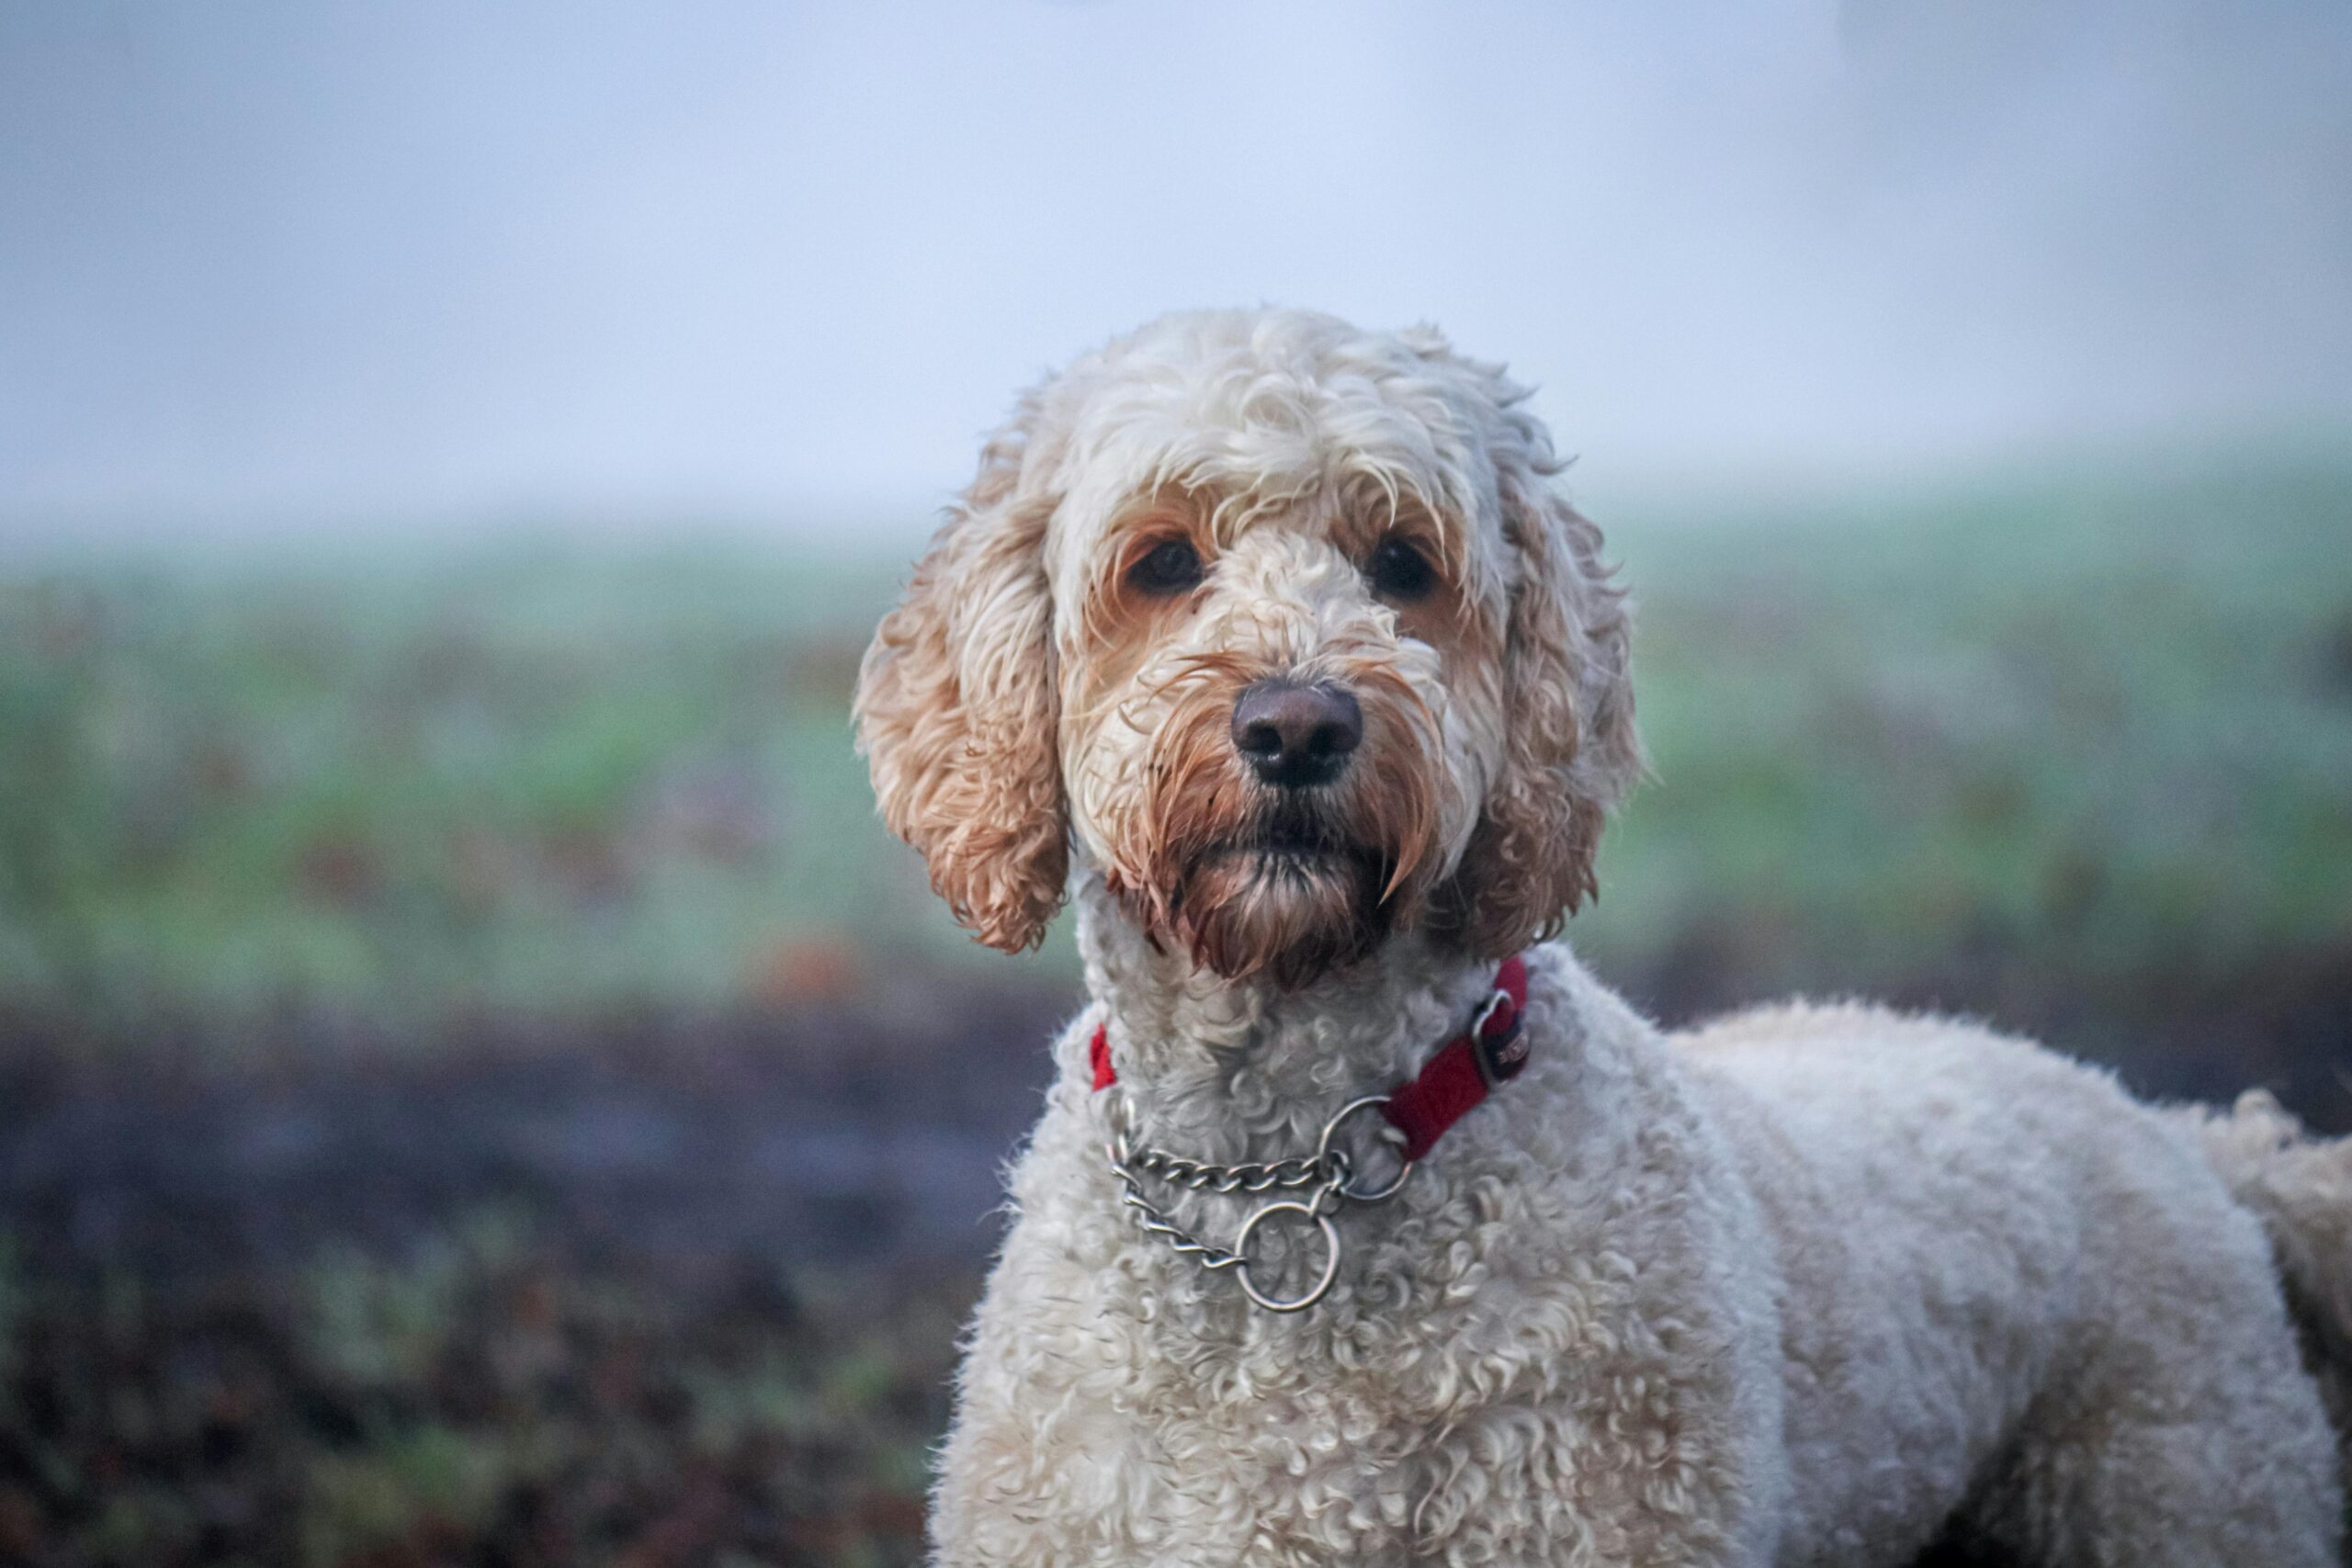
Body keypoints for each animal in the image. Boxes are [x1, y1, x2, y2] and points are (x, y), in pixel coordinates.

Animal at [860, 310, 2352, 1568]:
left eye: (1404, 564)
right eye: (1163, 562)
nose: (1296, 725)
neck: (1290, 1164)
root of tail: (2174, 1130)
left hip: (2188, 1485)